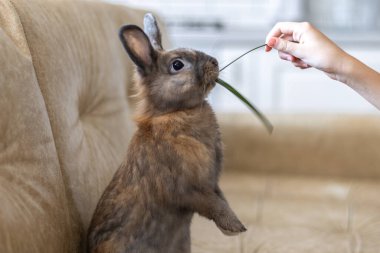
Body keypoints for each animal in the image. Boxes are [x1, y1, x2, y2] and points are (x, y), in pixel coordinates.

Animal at [86, 13, 246, 253]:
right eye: (177, 64)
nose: (215, 62)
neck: (174, 112)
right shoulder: (190, 188)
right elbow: (214, 204)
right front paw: (235, 228)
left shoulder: (212, 184)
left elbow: (221, 198)